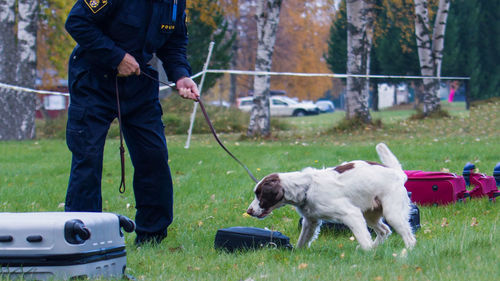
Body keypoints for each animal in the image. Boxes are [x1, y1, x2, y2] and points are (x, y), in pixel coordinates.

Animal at [245, 142, 414, 249]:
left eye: (260, 195)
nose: (249, 211)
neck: (307, 188)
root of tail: (399, 174)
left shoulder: (351, 214)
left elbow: (363, 238)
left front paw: (368, 252)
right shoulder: (310, 222)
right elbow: (301, 242)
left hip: (392, 213)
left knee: (409, 238)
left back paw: (405, 254)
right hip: (370, 214)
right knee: (385, 230)